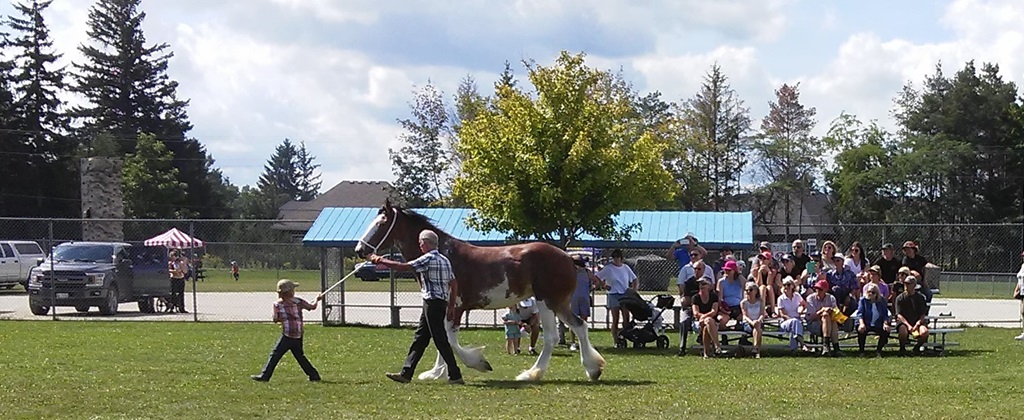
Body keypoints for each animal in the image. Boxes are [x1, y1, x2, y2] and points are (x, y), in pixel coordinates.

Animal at [353, 200, 605, 382]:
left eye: (381, 223)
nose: (359, 250)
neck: (444, 254)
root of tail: (569, 258)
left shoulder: (455, 307)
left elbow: (448, 339)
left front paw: (476, 363)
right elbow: (439, 337)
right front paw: (436, 372)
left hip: (546, 302)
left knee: (552, 337)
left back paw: (531, 374)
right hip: (559, 303)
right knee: (580, 326)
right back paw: (593, 370)